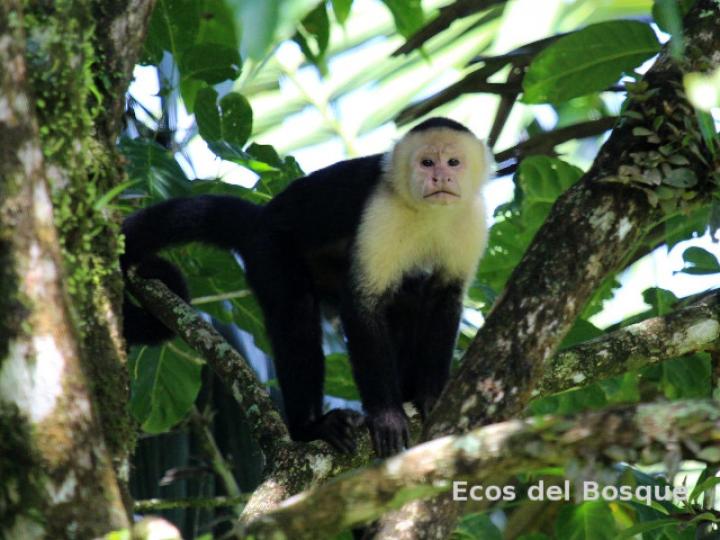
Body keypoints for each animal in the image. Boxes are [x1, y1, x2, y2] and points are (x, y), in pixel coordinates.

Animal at [122, 117, 490, 457]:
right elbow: (361, 304)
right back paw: (309, 427)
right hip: (269, 247)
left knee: (407, 299)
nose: (440, 178)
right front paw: (387, 415)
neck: (429, 213)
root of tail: (261, 216)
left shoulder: (471, 220)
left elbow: (444, 298)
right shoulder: (382, 212)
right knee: (295, 312)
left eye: (453, 162)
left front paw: (431, 394)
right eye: (426, 162)